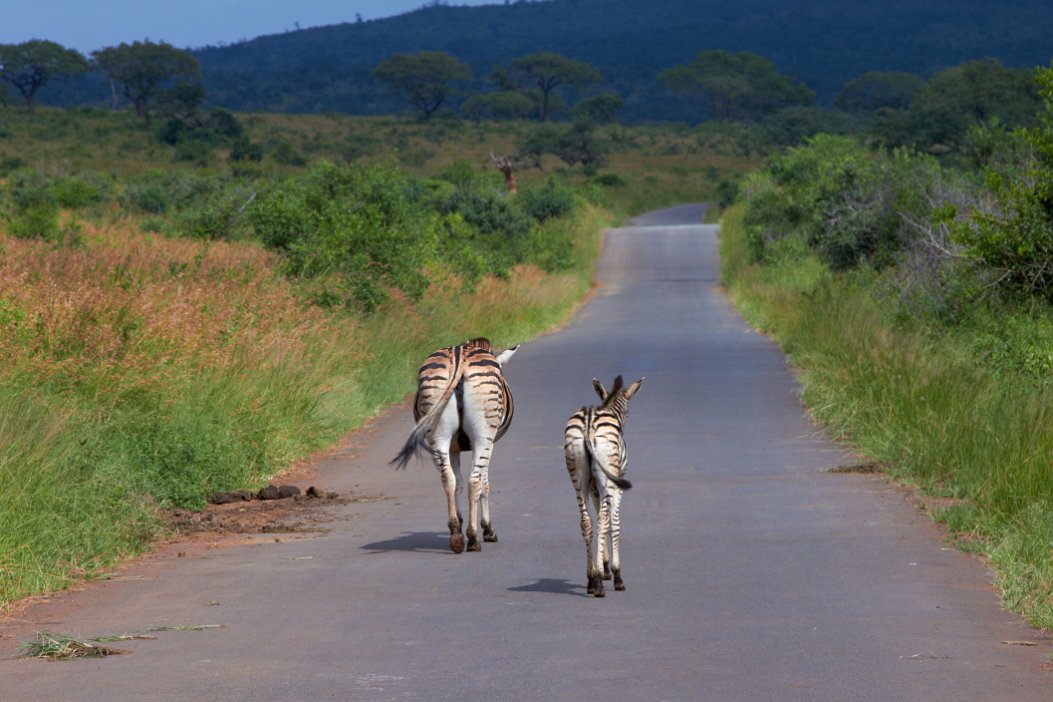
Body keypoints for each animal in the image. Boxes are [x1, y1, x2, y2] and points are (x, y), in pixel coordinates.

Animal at [391, 338, 518, 555]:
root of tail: (459, 359)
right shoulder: (488, 442)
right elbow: (484, 484)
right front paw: (488, 530)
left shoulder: (454, 448)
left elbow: (457, 482)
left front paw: (459, 520)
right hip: (483, 435)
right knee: (474, 481)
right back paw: (473, 538)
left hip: (438, 435)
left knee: (447, 478)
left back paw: (456, 535)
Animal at [564, 376, 644, 597]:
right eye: (628, 412)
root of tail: (589, 422)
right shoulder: (616, 484)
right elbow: (614, 522)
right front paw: (615, 573)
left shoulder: (593, 488)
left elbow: (603, 518)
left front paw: (603, 567)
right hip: (607, 478)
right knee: (602, 520)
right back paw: (599, 583)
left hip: (578, 477)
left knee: (587, 522)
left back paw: (592, 579)